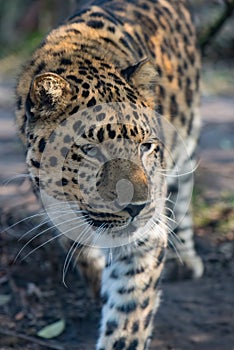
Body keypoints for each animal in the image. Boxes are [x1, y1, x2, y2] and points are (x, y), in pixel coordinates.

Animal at [15, 1, 204, 348]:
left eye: (145, 146)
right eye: (91, 151)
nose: (137, 208)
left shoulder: (146, 234)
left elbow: (131, 310)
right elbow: (82, 251)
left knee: (183, 184)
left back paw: (184, 258)